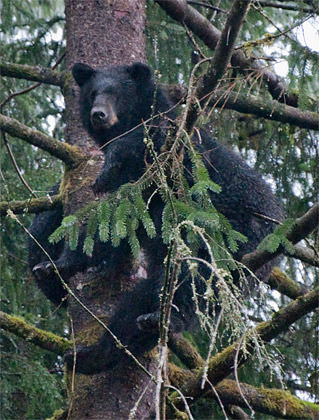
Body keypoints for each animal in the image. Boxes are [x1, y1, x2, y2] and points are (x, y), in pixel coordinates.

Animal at [28, 61, 284, 370]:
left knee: (194, 281)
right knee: (142, 300)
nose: (98, 114)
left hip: (228, 239)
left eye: (116, 92)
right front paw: (54, 265)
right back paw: (101, 352)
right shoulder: (138, 193)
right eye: (93, 93)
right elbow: (113, 224)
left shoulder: (171, 158)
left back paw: (166, 321)